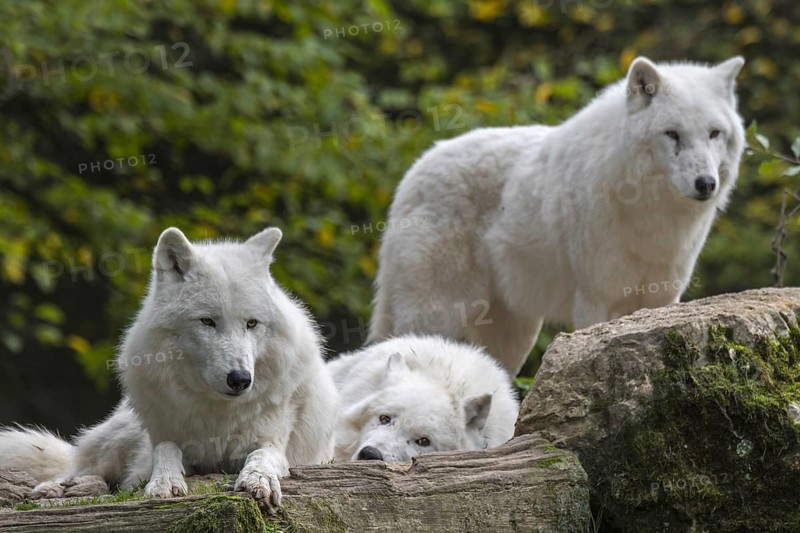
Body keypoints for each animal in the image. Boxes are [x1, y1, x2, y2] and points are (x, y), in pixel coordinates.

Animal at [0, 227, 338, 510]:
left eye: (252, 323)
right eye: (208, 321)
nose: (241, 380)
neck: (217, 413)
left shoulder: (274, 442)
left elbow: (262, 455)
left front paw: (258, 481)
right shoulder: (162, 443)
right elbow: (165, 450)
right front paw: (164, 482)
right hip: (119, 439)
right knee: (79, 467)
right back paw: (60, 487)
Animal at [368, 56, 746, 376]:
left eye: (714, 133)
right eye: (672, 134)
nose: (706, 183)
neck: (650, 214)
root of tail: (411, 176)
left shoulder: (663, 300)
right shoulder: (594, 302)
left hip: (513, 334)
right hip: (438, 315)